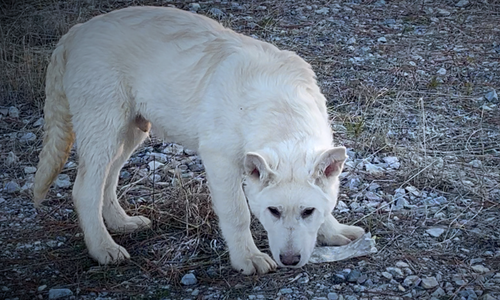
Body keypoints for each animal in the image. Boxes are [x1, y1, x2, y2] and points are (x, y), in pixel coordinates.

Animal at [34, 6, 364, 274]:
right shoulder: (220, 160)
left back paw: (121, 223)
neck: (282, 108)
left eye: (308, 212)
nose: (290, 261)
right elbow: (237, 213)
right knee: (85, 190)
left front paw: (333, 231)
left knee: (108, 179)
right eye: (273, 211)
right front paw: (247, 259)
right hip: (104, 126)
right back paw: (103, 248)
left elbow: (327, 203)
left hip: (130, 132)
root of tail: (76, 32)